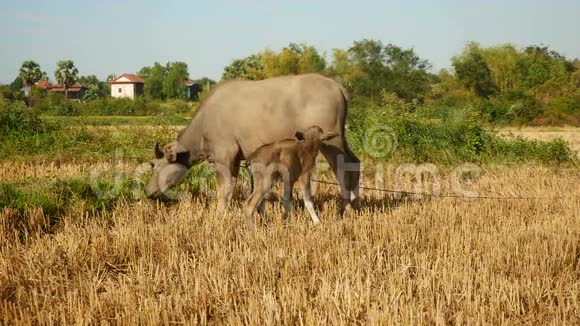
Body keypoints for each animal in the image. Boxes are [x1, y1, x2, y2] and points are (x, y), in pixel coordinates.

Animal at [146, 74, 358, 211]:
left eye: (157, 166)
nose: (148, 192)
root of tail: (338, 87)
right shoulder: (237, 161)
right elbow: (233, 190)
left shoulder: (224, 157)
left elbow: (223, 190)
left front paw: (219, 214)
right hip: (340, 140)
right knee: (355, 162)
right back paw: (356, 205)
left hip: (331, 142)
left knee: (343, 168)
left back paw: (345, 208)